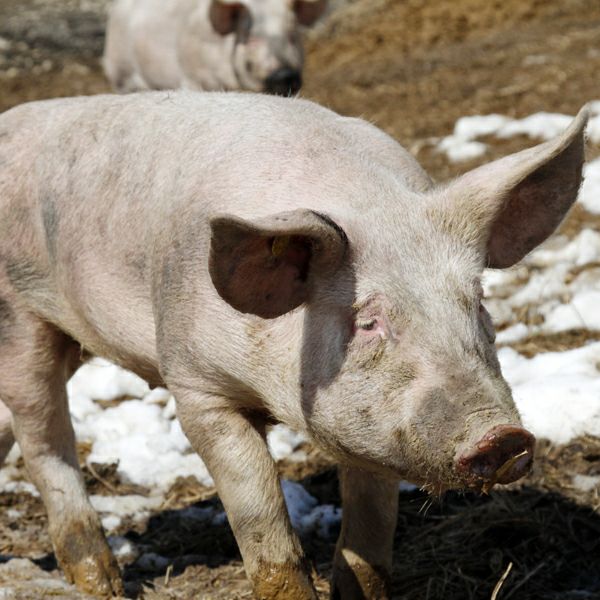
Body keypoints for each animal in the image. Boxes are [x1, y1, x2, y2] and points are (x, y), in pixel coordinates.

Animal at [0, 91, 587, 599]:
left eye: (478, 301)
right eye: (367, 320)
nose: (504, 436)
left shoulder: (374, 427)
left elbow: (370, 535)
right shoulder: (195, 383)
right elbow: (262, 521)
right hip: (20, 318)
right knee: (43, 436)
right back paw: (102, 585)